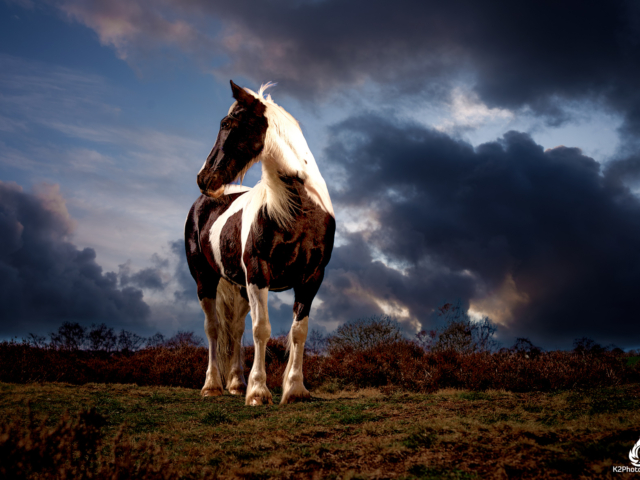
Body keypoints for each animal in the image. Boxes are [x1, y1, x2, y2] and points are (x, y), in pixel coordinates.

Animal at [184, 79, 336, 404]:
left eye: (228, 123)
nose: (204, 179)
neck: (300, 210)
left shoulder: (313, 277)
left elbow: (298, 332)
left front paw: (294, 389)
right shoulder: (258, 273)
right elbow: (261, 330)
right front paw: (258, 391)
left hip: (239, 287)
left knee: (235, 330)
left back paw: (235, 383)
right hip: (205, 280)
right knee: (214, 328)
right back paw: (212, 386)